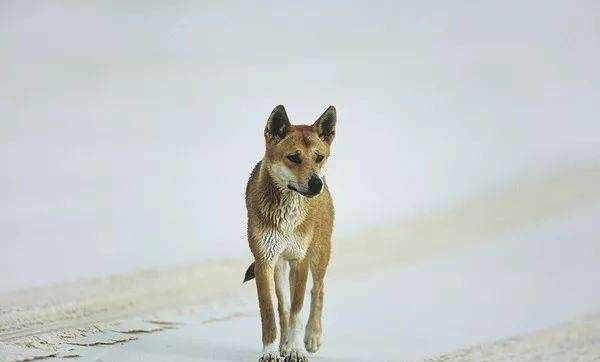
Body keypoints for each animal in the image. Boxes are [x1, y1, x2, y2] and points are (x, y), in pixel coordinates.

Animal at [244, 105, 338, 362]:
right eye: (294, 157)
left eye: (319, 157)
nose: (316, 184)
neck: (287, 216)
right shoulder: (264, 262)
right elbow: (271, 313)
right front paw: (271, 351)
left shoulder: (300, 261)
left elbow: (297, 311)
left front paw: (296, 349)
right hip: (279, 266)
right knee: (283, 305)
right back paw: (284, 344)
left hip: (319, 255)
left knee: (318, 290)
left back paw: (312, 336)